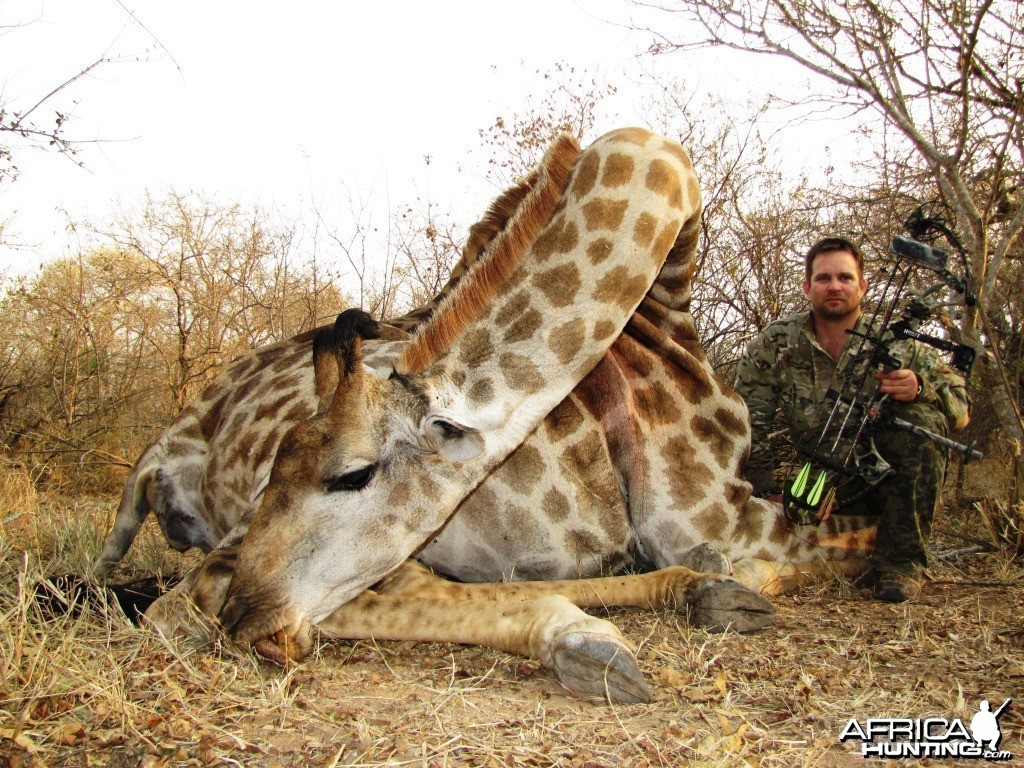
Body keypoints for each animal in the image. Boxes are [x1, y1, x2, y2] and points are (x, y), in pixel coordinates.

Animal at [96, 126, 876, 704]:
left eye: (350, 475)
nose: (249, 617)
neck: (666, 303)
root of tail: (169, 449)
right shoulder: (717, 516)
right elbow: (851, 548)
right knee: (193, 601)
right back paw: (602, 634)